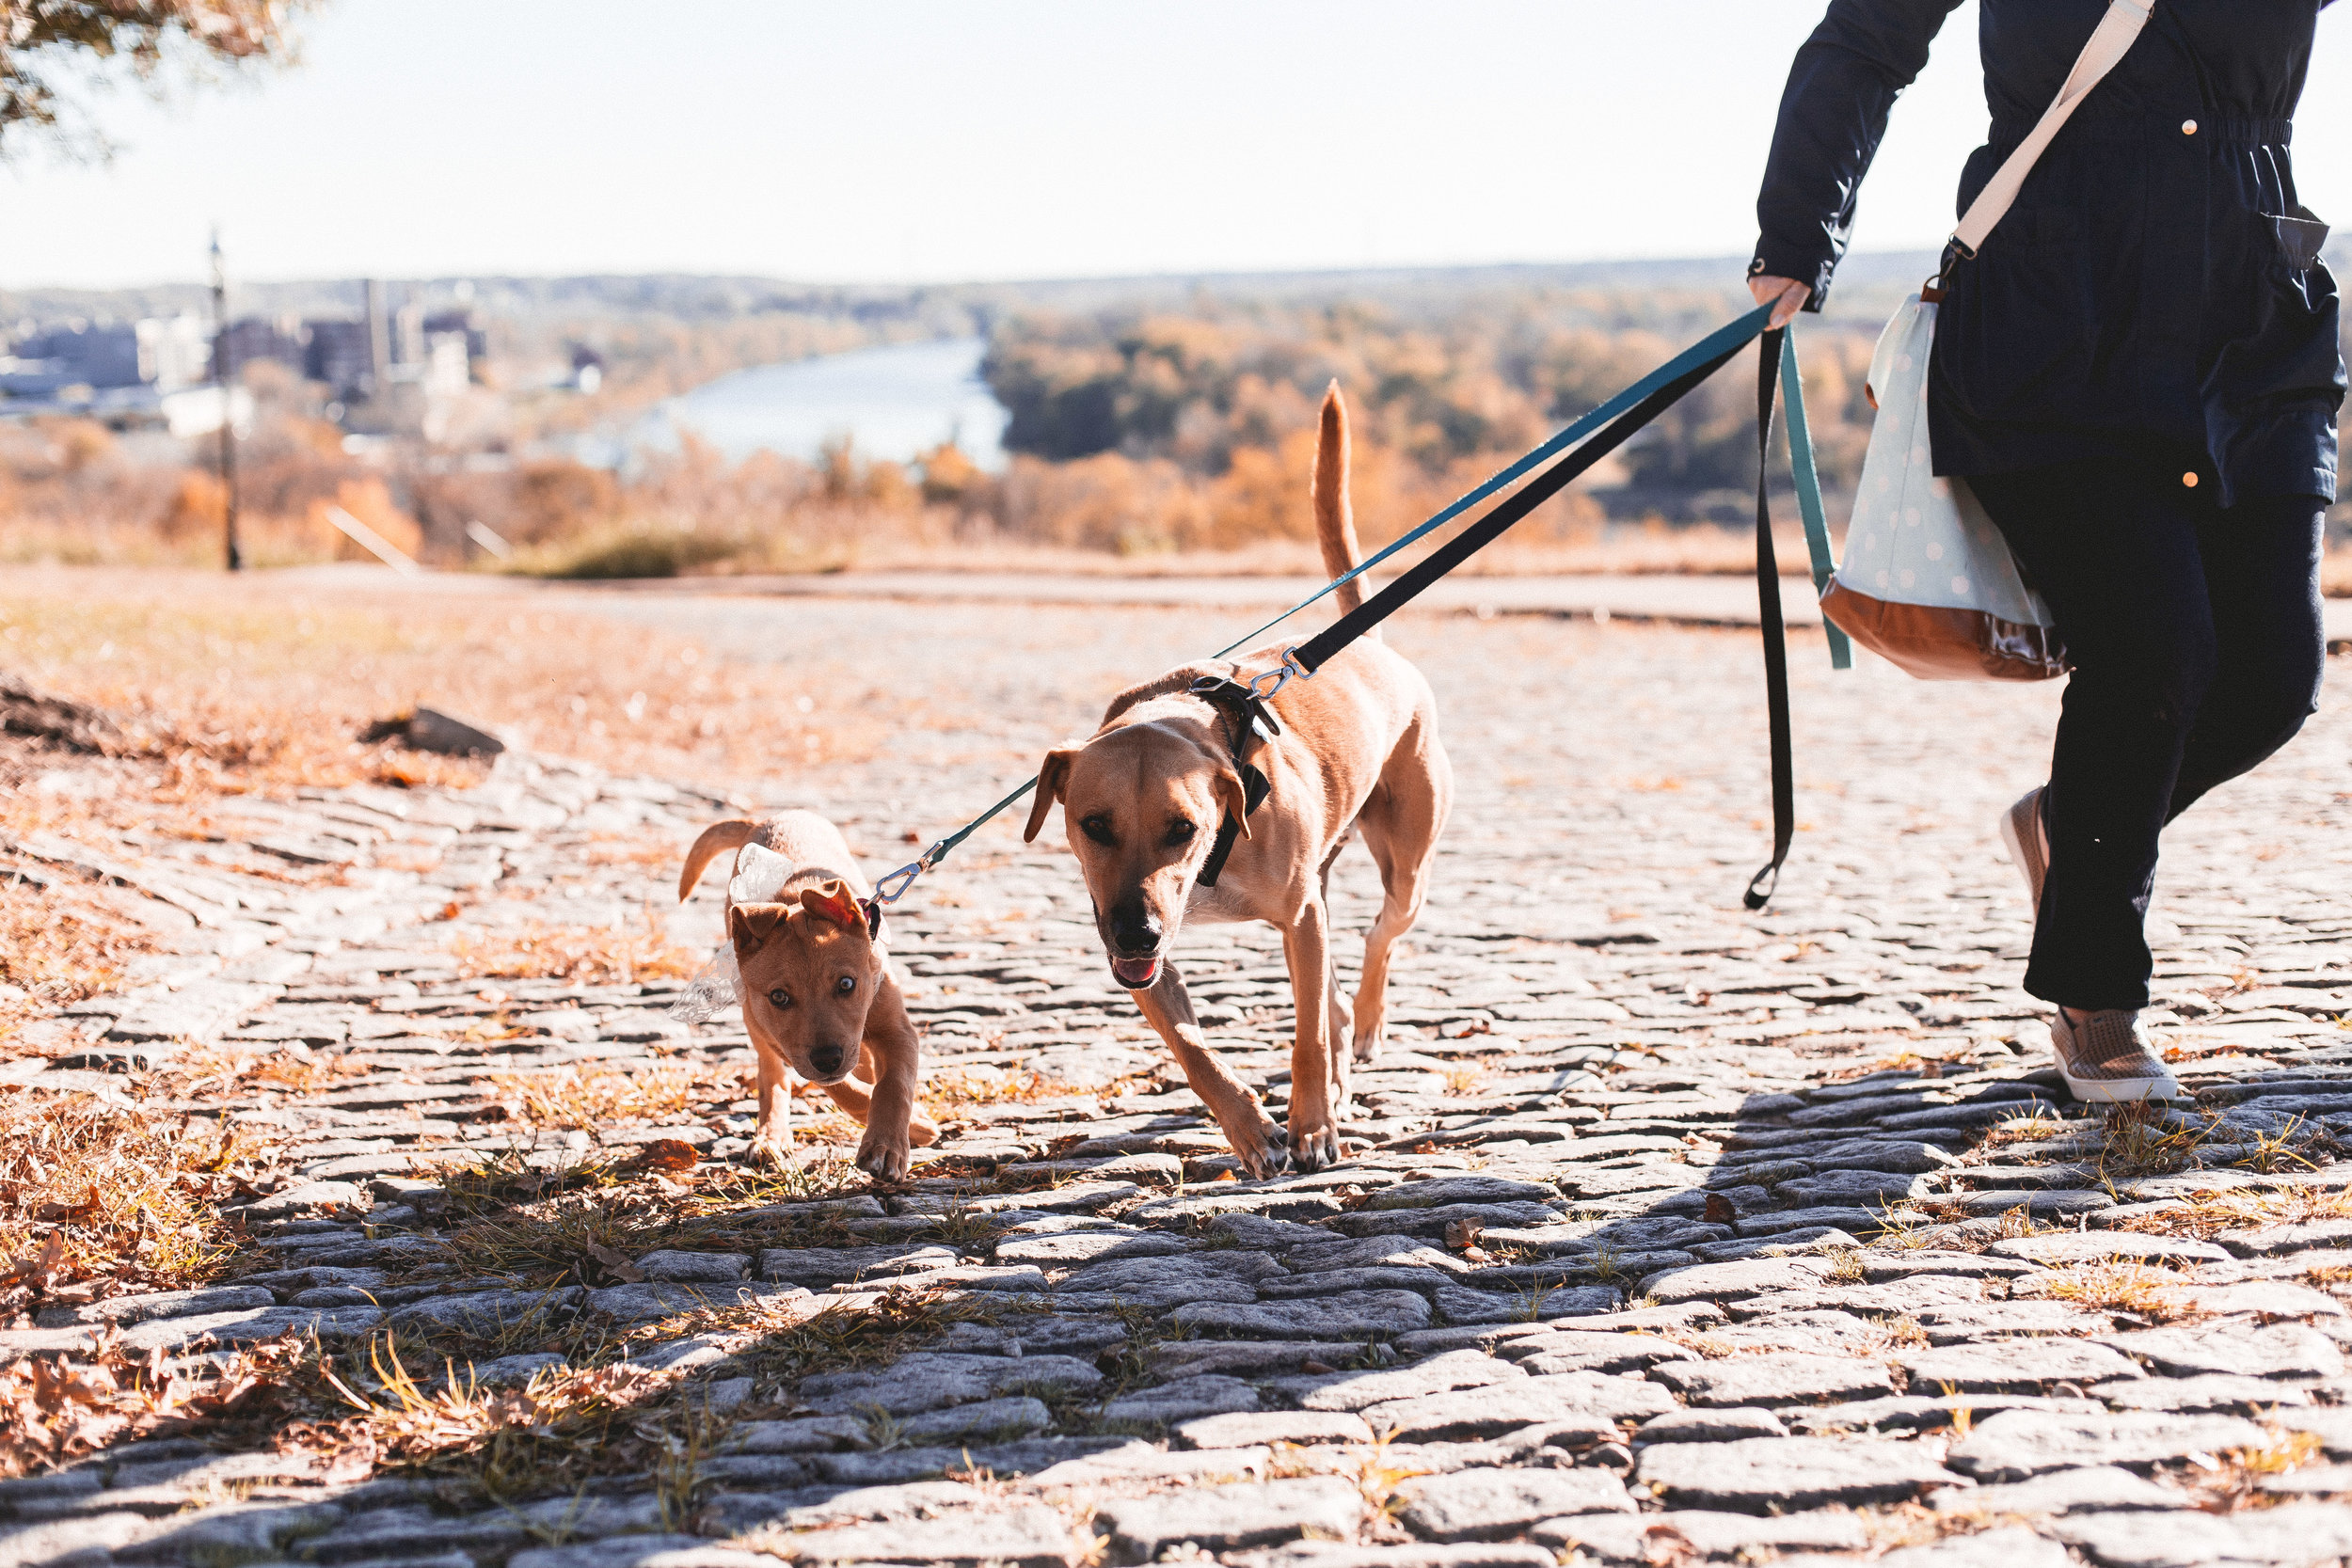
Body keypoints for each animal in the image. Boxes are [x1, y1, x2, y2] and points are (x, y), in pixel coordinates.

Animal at [673, 808, 936, 1175]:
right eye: (779, 997)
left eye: (846, 984)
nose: (827, 1059)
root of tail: (769, 817)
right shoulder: (784, 1040)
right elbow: (846, 1090)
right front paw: (918, 1126)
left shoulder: (896, 1029)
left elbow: (893, 1085)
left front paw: (888, 1147)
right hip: (756, 1023)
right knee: (772, 1077)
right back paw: (771, 1137)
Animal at [1025, 385, 1449, 1175]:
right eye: (1092, 825)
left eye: (1183, 828)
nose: (1135, 932)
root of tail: (1374, 648)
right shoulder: (1149, 957)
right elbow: (1192, 1048)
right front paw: (1250, 1127)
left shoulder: (1297, 917)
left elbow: (1305, 1035)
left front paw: (1311, 1126)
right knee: (1334, 987)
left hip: (1404, 863)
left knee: (1378, 936)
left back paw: (1366, 1026)